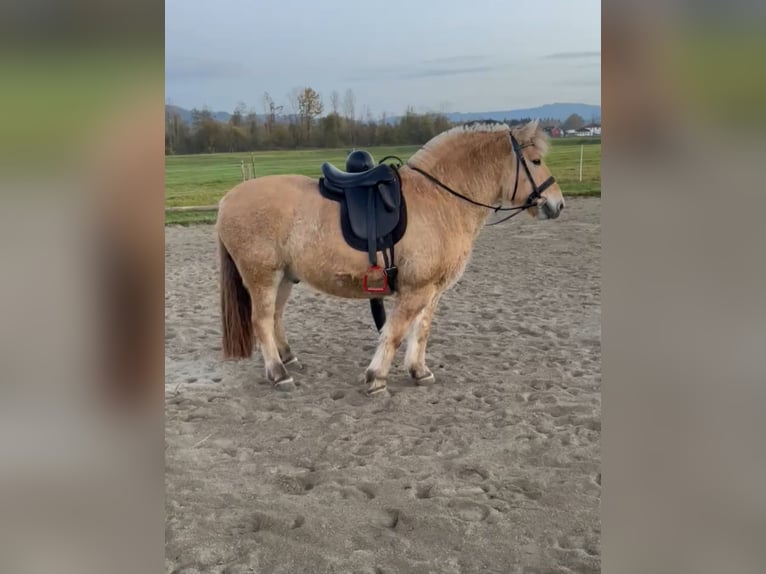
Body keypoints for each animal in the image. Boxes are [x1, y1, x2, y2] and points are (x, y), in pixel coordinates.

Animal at [214, 118, 564, 396]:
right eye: (535, 160)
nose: (557, 203)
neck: (439, 199)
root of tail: (227, 200)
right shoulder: (415, 289)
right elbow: (394, 333)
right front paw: (376, 377)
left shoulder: (431, 291)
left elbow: (420, 331)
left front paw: (419, 371)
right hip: (263, 277)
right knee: (261, 321)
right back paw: (278, 373)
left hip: (285, 277)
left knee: (275, 318)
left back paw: (288, 359)